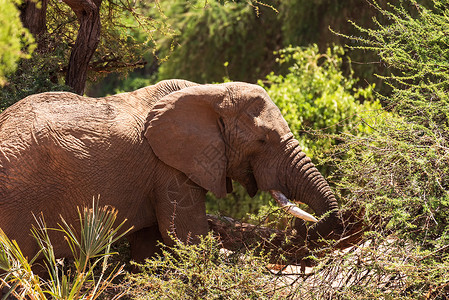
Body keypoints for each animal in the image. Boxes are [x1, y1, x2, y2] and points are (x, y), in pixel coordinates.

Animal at [0, 79, 342, 262]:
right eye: (262, 140)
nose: (302, 227)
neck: (211, 92)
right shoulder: (169, 169)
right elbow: (187, 237)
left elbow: (150, 247)